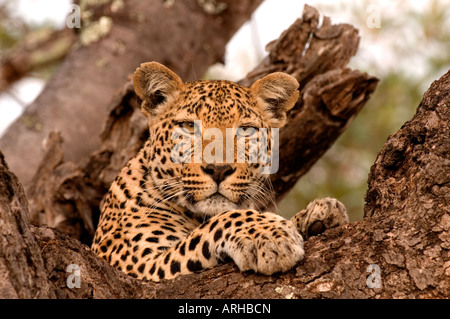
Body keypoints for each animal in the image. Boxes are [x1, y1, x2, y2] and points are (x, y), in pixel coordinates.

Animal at [89, 61, 346, 282]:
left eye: (246, 130)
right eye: (188, 126)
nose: (219, 170)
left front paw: (319, 213)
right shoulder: (138, 264)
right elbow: (217, 222)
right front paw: (269, 235)